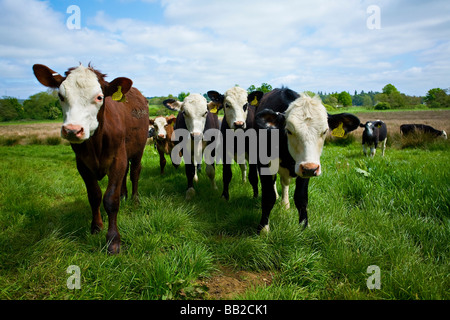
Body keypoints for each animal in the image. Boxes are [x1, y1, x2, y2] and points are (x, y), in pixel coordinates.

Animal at [33, 62, 149, 254]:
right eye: (61, 96)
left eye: (99, 97)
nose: (72, 130)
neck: (96, 143)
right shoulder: (82, 164)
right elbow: (94, 195)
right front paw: (96, 227)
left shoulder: (118, 158)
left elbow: (110, 199)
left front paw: (113, 240)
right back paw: (124, 195)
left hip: (137, 150)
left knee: (134, 173)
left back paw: (134, 200)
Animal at [255, 87, 360, 232]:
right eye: (289, 130)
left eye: (325, 131)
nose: (310, 168)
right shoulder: (264, 164)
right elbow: (268, 196)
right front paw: (263, 228)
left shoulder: (307, 168)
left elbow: (301, 197)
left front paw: (304, 225)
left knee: (285, 182)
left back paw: (285, 204)